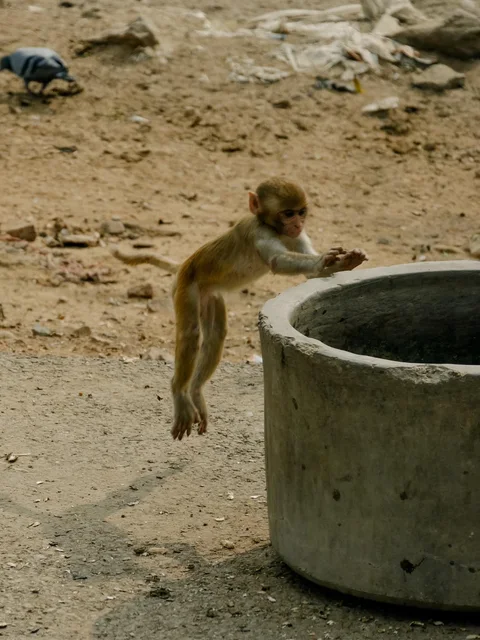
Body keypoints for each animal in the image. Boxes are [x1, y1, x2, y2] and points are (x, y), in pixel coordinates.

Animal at [111, 177, 368, 441]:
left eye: (301, 212)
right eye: (288, 213)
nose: (297, 223)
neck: (274, 227)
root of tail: (183, 265)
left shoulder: (296, 237)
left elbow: (310, 273)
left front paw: (344, 261)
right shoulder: (257, 232)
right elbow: (277, 260)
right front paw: (324, 260)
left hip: (210, 294)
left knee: (216, 334)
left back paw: (195, 391)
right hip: (186, 288)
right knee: (191, 334)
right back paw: (179, 392)